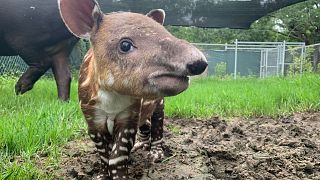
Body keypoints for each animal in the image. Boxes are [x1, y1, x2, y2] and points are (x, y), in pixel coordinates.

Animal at [57, 0, 208, 179]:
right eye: (125, 45)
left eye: (166, 32)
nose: (199, 62)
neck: (112, 98)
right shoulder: (93, 119)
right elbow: (104, 154)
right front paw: (102, 175)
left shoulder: (129, 115)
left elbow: (116, 156)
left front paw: (120, 175)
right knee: (146, 125)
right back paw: (141, 145)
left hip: (160, 102)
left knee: (157, 126)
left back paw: (155, 154)